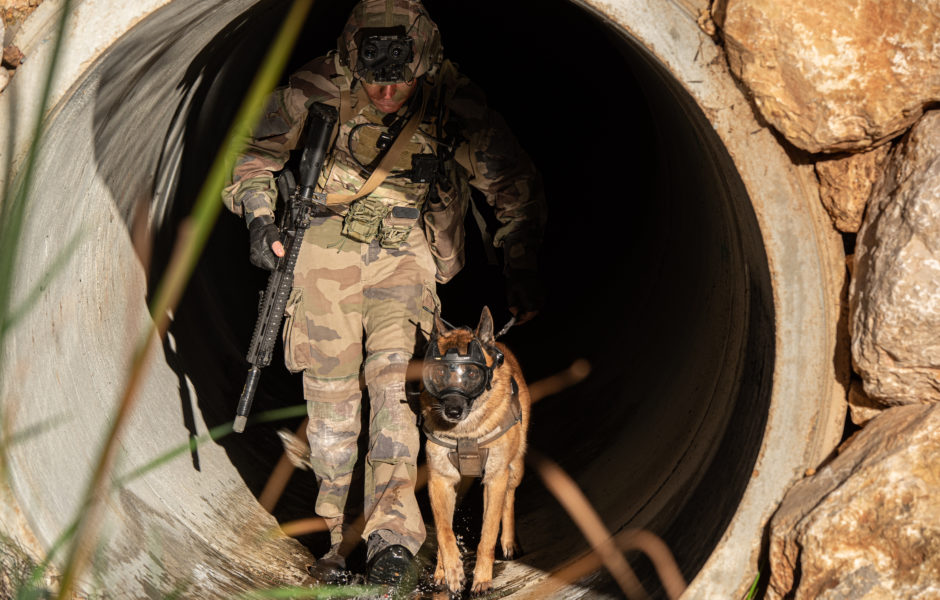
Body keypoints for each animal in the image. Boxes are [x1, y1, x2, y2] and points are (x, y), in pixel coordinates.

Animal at [418, 308, 528, 592]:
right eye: (439, 374)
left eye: (471, 375)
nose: (453, 411)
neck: (465, 435)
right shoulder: (440, 481)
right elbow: (444, 532)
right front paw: (451, 571)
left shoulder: (495, 479)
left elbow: (487, 534)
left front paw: (482, 578)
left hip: (515, 469)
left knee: (509, 500)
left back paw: (509, 542)